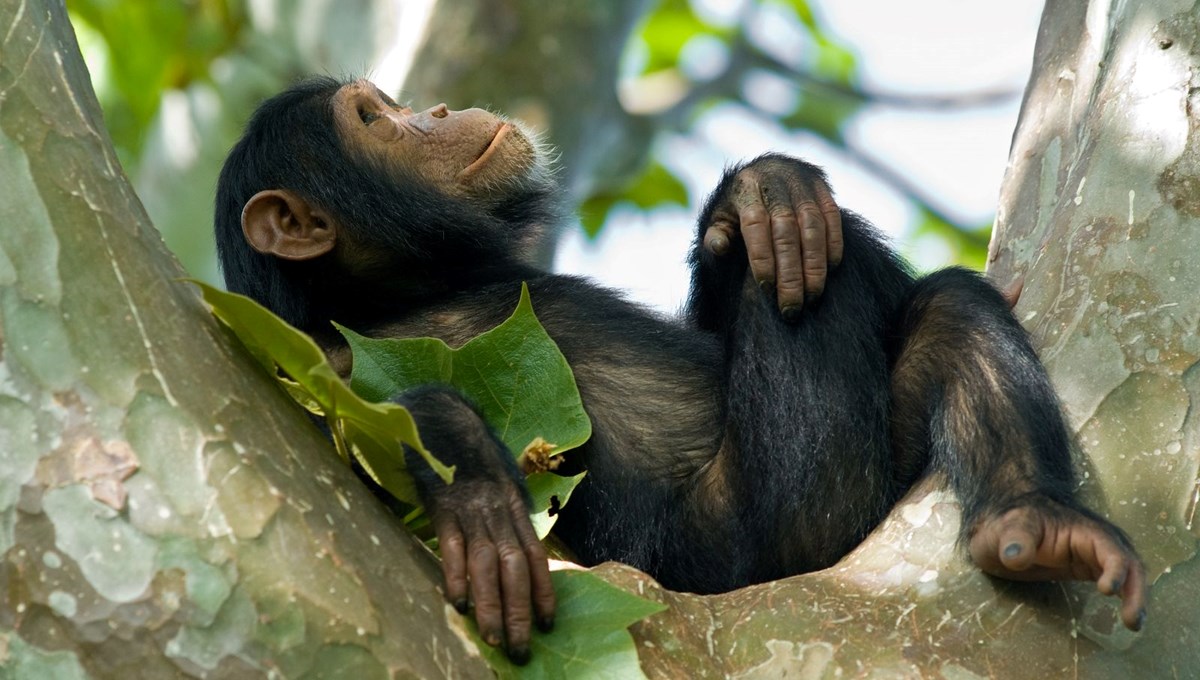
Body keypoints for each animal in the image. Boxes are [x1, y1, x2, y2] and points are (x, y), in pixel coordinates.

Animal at [213, 77, 1142, 662]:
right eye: (373, 119)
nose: (431, 108)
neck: (409, 288)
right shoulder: (315, 357)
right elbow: (354, 424)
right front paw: (474, 491)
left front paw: (764, 194)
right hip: (784, 522)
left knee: (941, 307)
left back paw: (1034, 520)